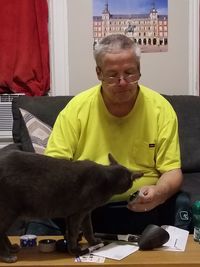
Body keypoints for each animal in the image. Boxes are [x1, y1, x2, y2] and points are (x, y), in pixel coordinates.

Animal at [0, 151, 143, 264]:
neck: (107, 177)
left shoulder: (85, 212)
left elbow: (88, 229)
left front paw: (93, 242)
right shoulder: (78, 212)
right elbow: (74, 232)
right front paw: (74, 250)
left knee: (3, 233)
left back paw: (11, 248)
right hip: (8, 210)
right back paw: (7, 256)